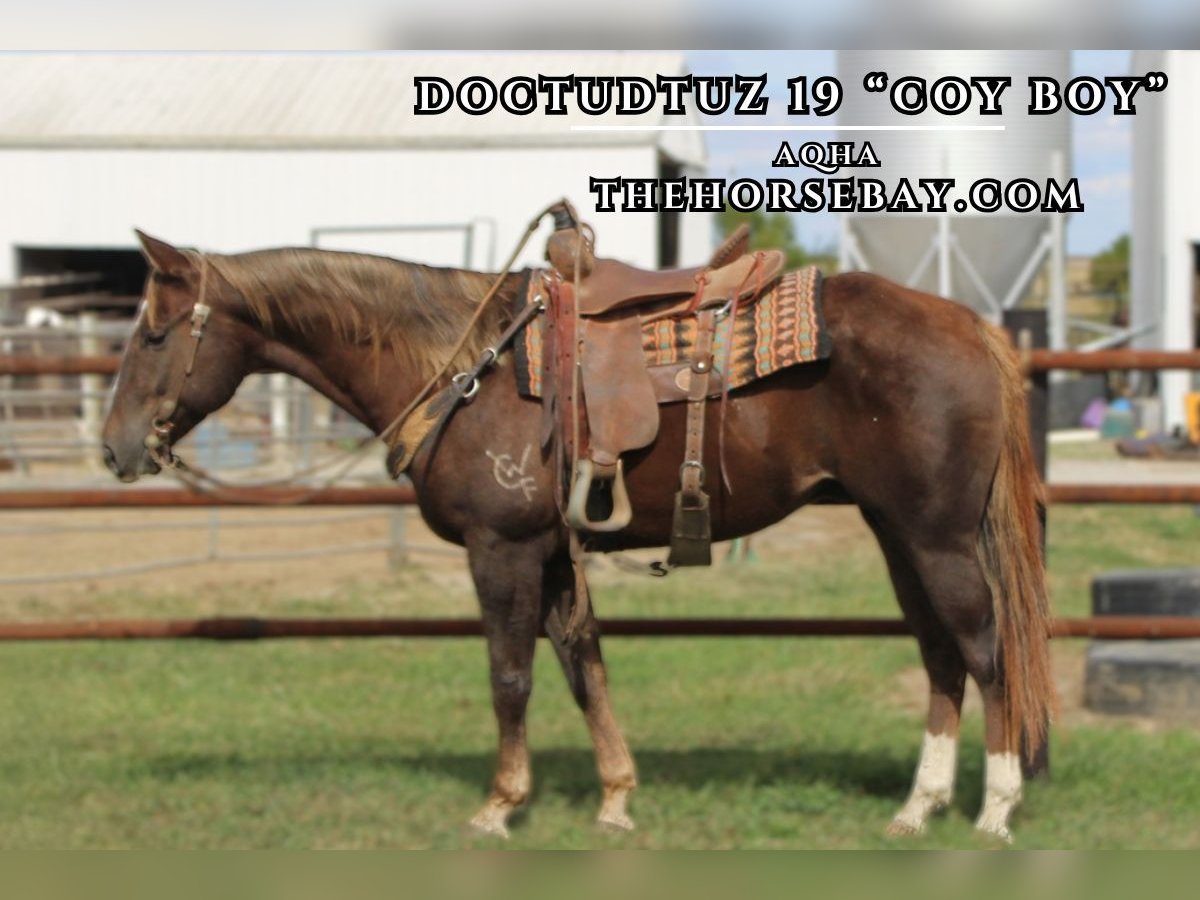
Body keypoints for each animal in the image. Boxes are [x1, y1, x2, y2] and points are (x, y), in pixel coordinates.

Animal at [105, 232, 1060, 844]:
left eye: (152, 333)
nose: (115, 448)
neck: (461, 366)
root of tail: (975, 325)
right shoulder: (554, 552)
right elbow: (582, 665)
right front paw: (615, 797)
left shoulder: (501, 548)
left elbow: (512, 677)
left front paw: (499, 806)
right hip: (896, 532)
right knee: (939, 653)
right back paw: (918, 807)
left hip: (936, 536)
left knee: (985, 650)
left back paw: (996, 809)